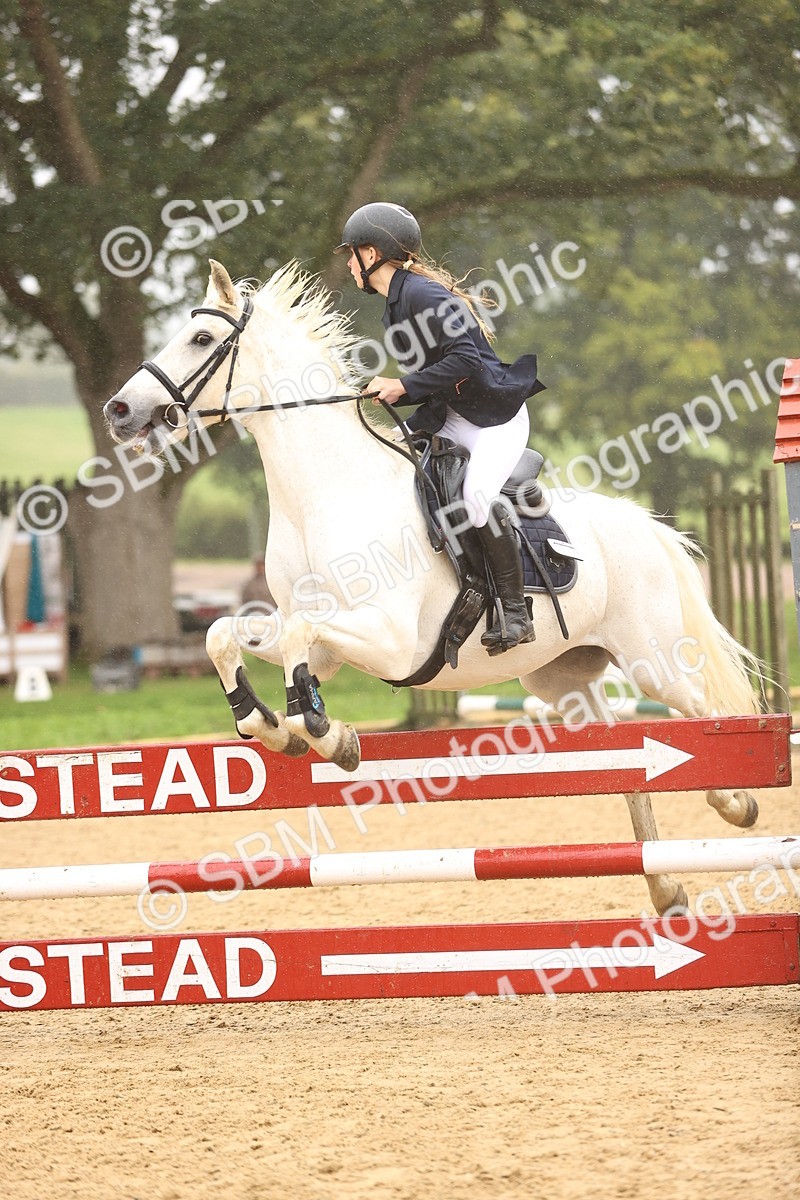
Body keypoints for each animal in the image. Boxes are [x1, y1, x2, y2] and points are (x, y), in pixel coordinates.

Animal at [104, 259, 762, 915]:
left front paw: (323, 732)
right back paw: (666, 886)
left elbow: (296, 639)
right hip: (564, 680)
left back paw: (737, 804)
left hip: (655, 663)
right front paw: (269, 724)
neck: (323, 493)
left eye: (201, 339)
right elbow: (226, 634)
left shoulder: (391, 641)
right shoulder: (325, 642)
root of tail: (647, 527)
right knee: (624, 762)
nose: (118, 410)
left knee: (705, 716)